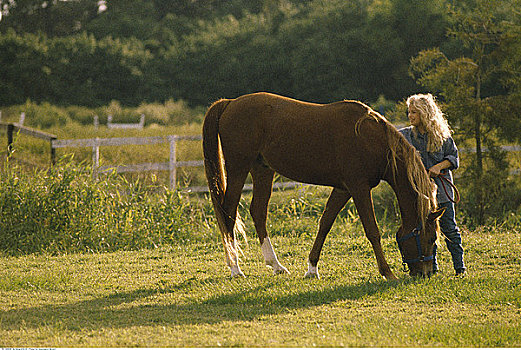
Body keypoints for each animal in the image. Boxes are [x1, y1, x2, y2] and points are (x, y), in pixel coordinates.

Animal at [202, 91, 442, 280]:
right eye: (431, 238)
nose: (426, 273)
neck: (370, 139)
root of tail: (230, 102)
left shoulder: (343, 189)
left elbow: (325, 224)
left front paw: (312, 269)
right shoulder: (359, 188)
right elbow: (372, 230)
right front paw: (387, 272)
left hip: (262, 170)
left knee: (258, 212)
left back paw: (276, 265)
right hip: (238, 169)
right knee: (228, 212)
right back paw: (235, 268)